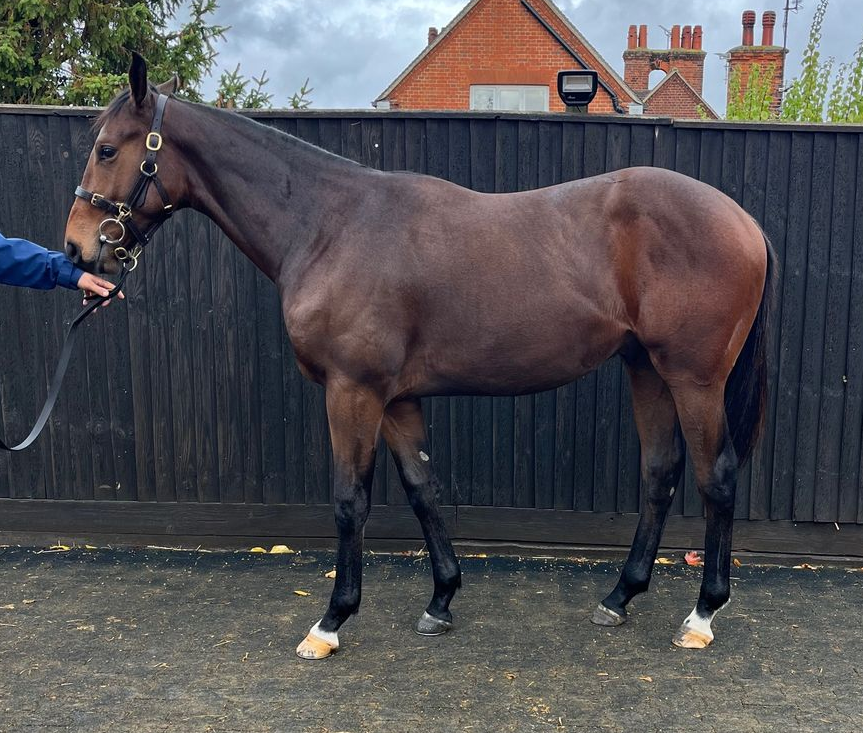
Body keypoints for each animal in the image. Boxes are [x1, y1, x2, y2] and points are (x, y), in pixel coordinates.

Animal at [64, 54, 775, 660]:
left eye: (107, 149)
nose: (76, 249)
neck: (328, 226)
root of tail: (744, 221)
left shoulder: (352, 390)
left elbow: (350, 499)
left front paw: (331, 622)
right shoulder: (397, 398)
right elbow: (422, 488)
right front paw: (441, 600)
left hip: (693, 378)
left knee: (716, 476)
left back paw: (702, 616)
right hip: (645, 368)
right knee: (660, 472)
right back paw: (620, 595)